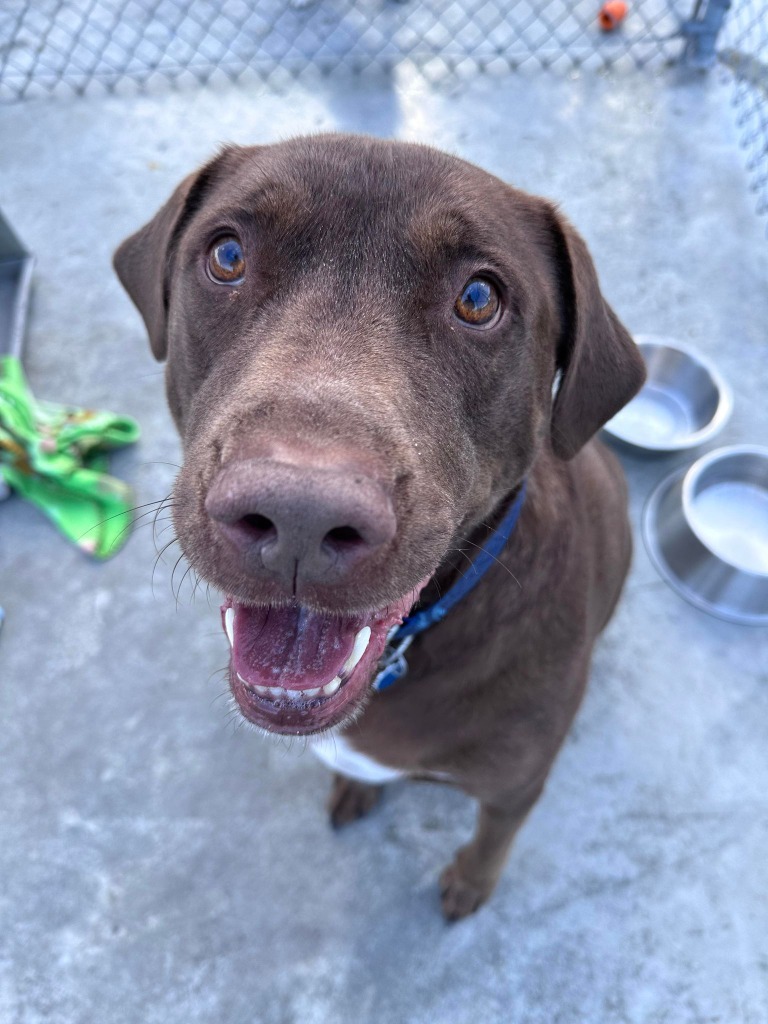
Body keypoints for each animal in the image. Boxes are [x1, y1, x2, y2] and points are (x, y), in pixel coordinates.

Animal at [112, 134, 643, 921]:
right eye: (227, 255)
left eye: (480, 299)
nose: (300, 514)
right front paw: (357, 788)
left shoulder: (515, 788)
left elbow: (492, 840)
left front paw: (469, 886)